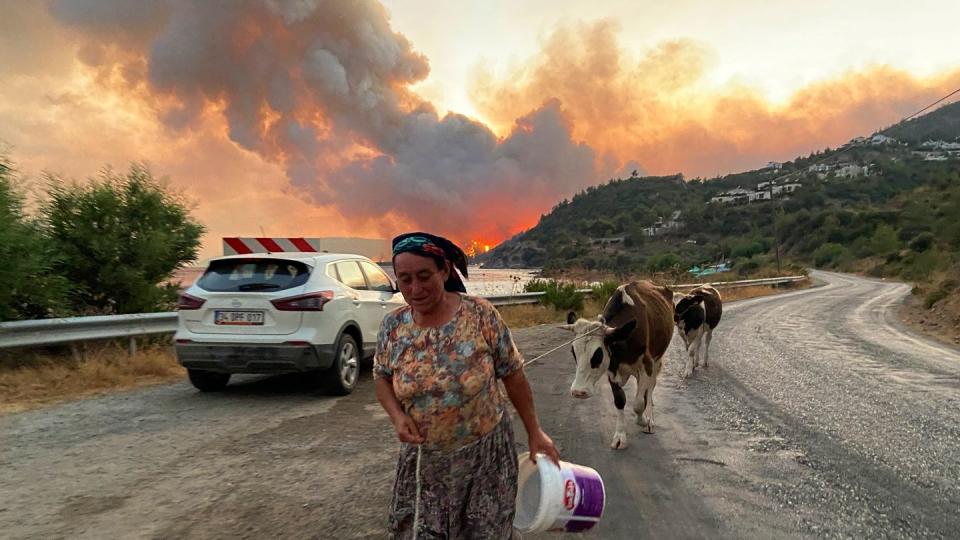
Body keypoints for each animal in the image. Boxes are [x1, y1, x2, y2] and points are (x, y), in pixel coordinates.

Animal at [560, 280, 672, 450]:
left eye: (598, 354)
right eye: (573, 351)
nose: (578, 392)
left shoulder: (646, 364)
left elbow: (638, 402)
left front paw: (643, 420)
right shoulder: (612, 370)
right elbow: (620, 400)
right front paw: (620, 436)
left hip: (657, 360)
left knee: (650, 386)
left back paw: (649, 418)